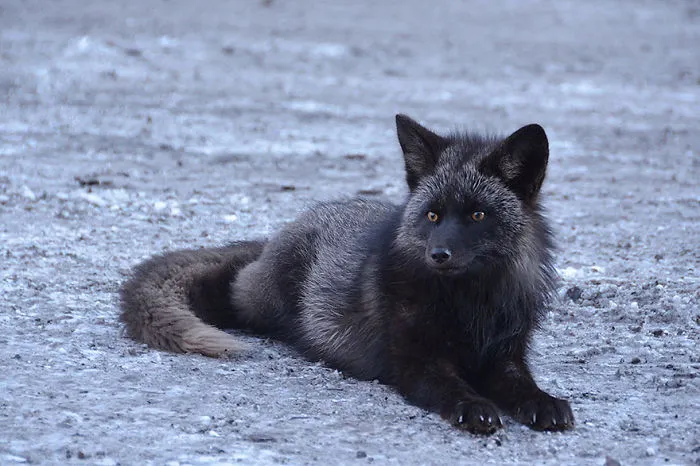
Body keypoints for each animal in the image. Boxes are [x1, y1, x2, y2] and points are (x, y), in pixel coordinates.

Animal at [120, 114, 574, 435]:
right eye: (433, 215)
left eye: (478, 215)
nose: (438, 255)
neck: (472, 306)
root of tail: (277, 236)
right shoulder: (412, 361)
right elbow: (450, 386)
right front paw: (473, 405)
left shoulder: (505, 354)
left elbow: (523, 385)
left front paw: (544, 402)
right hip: (264, 301)